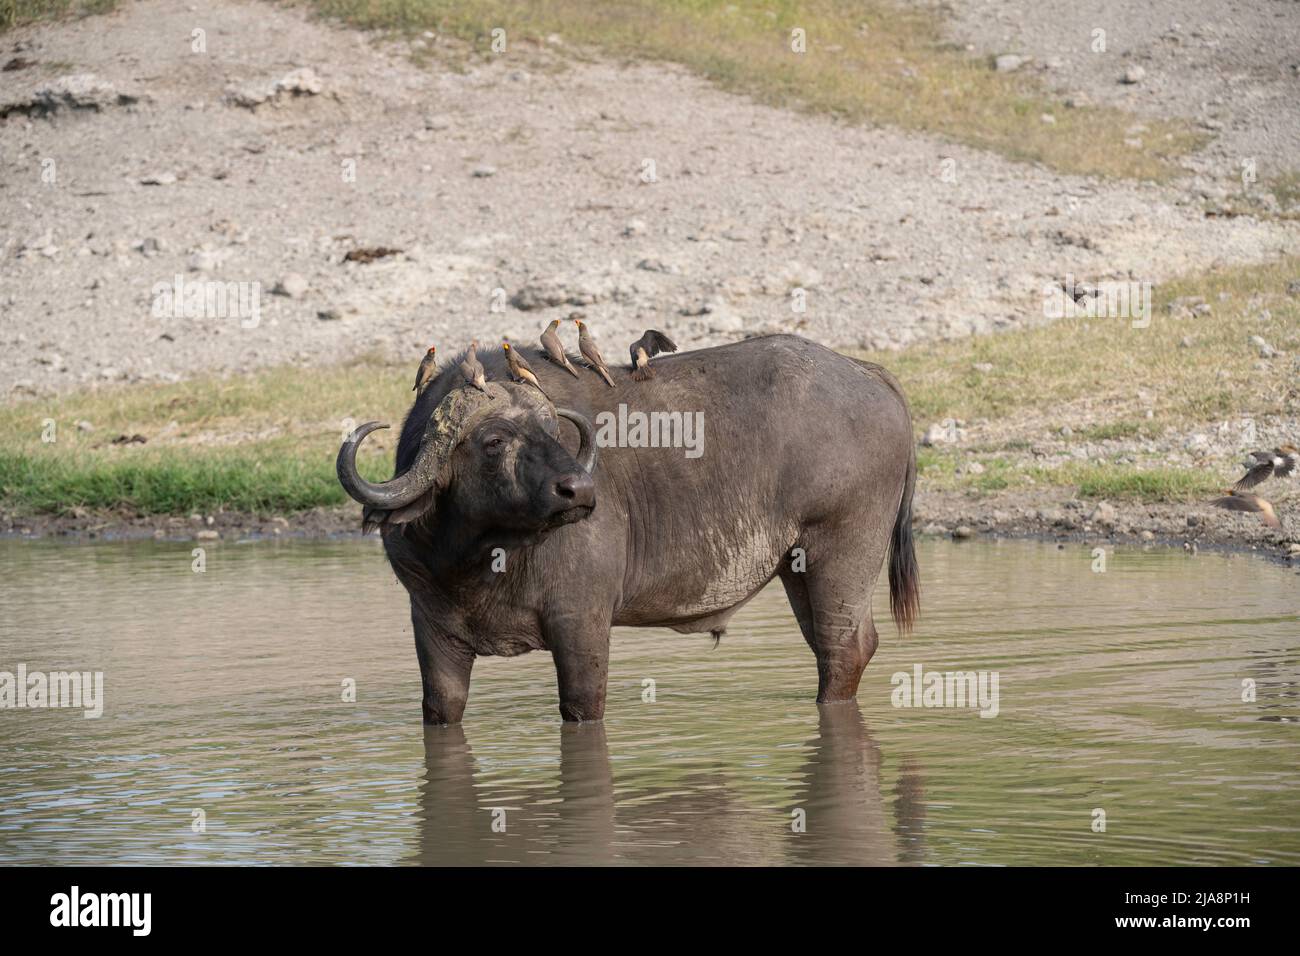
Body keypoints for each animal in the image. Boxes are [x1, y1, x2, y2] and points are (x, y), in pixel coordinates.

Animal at [340, 332, 920, 723]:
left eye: (552, 430)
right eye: (494, 440)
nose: (579, 490)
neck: (480, 560)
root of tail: (868, 372)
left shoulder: (581, 623)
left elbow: (582, 704)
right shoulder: (432, 630)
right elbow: (442, 706)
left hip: (840, 555)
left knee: (844, 647)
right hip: (797, 568)